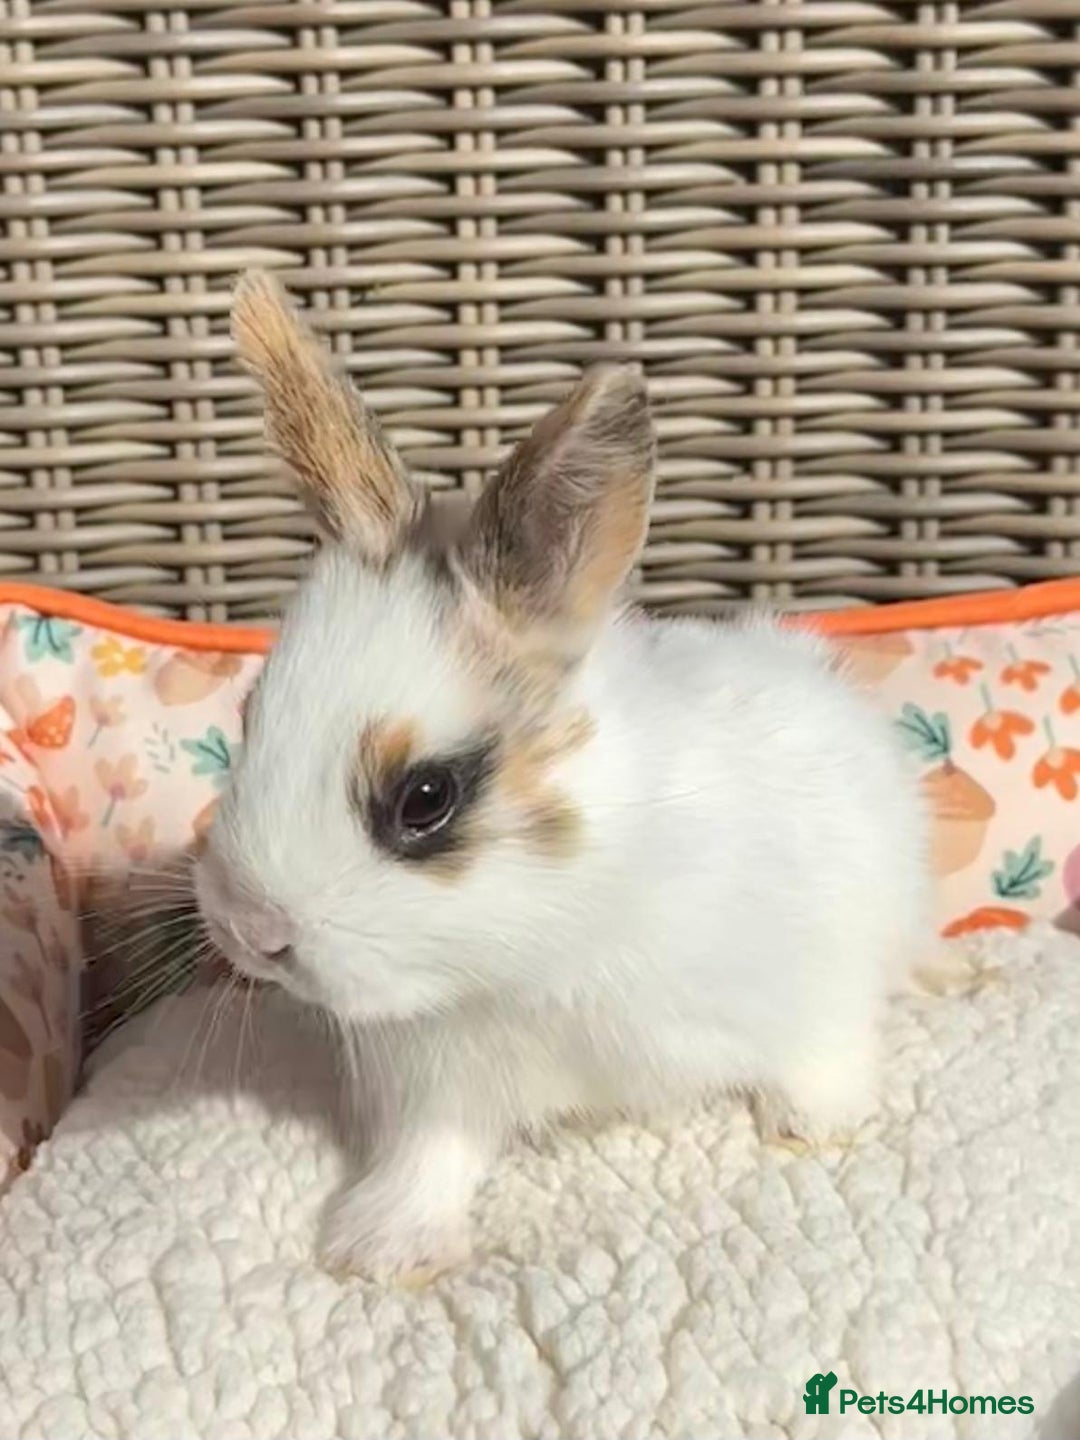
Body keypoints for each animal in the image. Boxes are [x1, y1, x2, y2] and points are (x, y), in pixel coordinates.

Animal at [194, 269, 932, 1284]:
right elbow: (433, 1157)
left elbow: (823, 1048)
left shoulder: (818, 977)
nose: (248, 931)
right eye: (248, 717)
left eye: (425, 798)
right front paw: (385, 1250)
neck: (540, 944)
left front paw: (820, 1125)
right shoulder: (440, 1087)